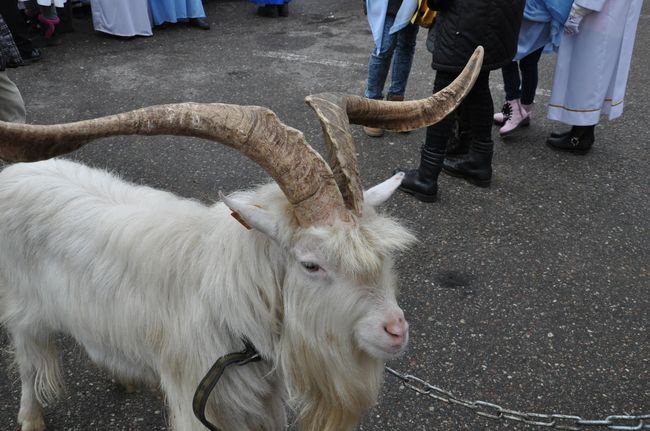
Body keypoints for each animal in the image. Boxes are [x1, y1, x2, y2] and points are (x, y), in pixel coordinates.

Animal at [0, 48, 480, 431]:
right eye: (311, 264)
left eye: (383, 255)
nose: (395, 332)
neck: (227, 303)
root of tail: (15, 173)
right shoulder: (198, 399)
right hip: (24, 310)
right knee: (27, 362)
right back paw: (31, 418)